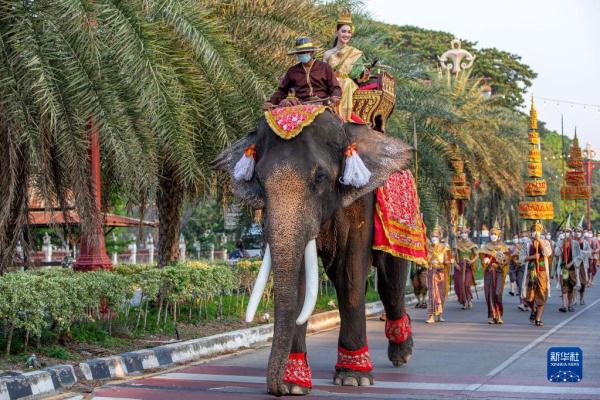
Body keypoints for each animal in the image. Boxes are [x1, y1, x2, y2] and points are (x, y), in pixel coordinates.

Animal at [213, 109, 414, 396]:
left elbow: (351, 274)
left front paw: (353, 379)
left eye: (320, 177)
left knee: (391, 283)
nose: (276, 389)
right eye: (259, 180)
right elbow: (300, 282)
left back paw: (401, 354)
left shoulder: (360, 200)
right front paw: (294, 384)